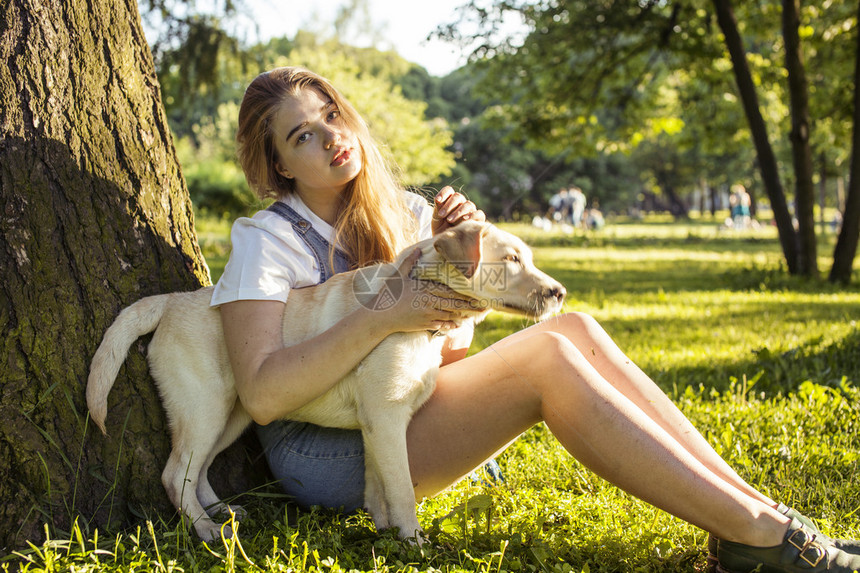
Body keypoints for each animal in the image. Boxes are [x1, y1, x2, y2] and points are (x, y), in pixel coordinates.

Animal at [87, 219, 564, 540]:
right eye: (512, 259)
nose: (559, 293)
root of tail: (171, 301)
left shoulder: (375, 426)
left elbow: (378, 485)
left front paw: (384, 532)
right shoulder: (387, 420)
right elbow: (401, 488)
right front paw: (412, 542)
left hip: (232, 415)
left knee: (197, 470)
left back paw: (221, 511)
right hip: (204, 408)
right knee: (174, 474)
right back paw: (206, 528)